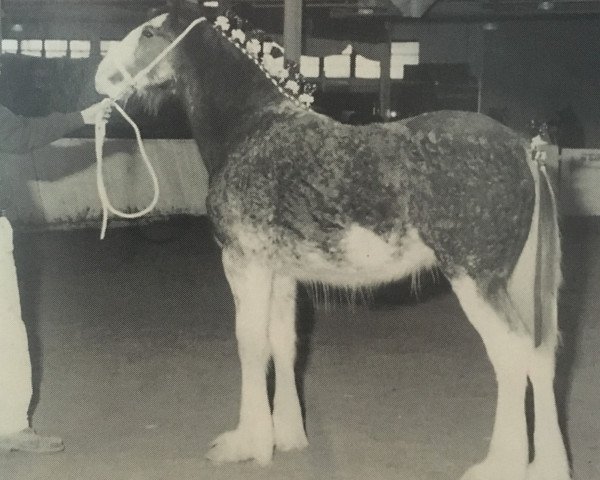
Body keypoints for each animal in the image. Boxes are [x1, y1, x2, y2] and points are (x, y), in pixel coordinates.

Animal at [95, 8, 572, 480]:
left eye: (149, 32)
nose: (101, 77)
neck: (253, 126)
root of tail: (524, 150)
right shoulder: (281, 272)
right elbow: (282, 341)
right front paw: (287, 435)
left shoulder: (244, 263)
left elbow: (250, 344)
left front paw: (248, 444)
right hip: (517, 282)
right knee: (541, 356)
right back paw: (546, 465)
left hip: (476, 280)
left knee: (512, 356)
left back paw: (501, 464)